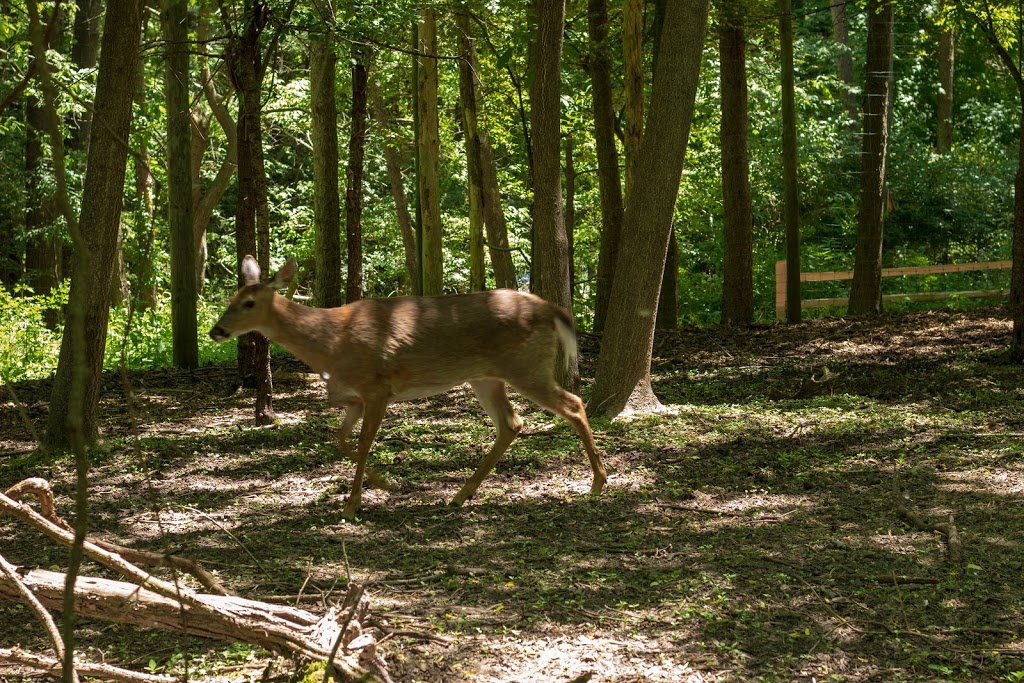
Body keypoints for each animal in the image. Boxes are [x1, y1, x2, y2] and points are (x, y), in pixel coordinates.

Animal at [209, 255, 606, 518]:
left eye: (249, 302)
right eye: (229, 299)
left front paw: (353, 504)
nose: (216, 331)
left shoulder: (378, 387)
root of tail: (553, 310)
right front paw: (387, 485)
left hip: (526, 366)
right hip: (485, 376)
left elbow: (363, 444)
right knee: (512, 423)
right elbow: (341, 440)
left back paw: (598, 483)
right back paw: (460, 495)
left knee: (573, 404)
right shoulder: (352, 398)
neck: (329, 343)